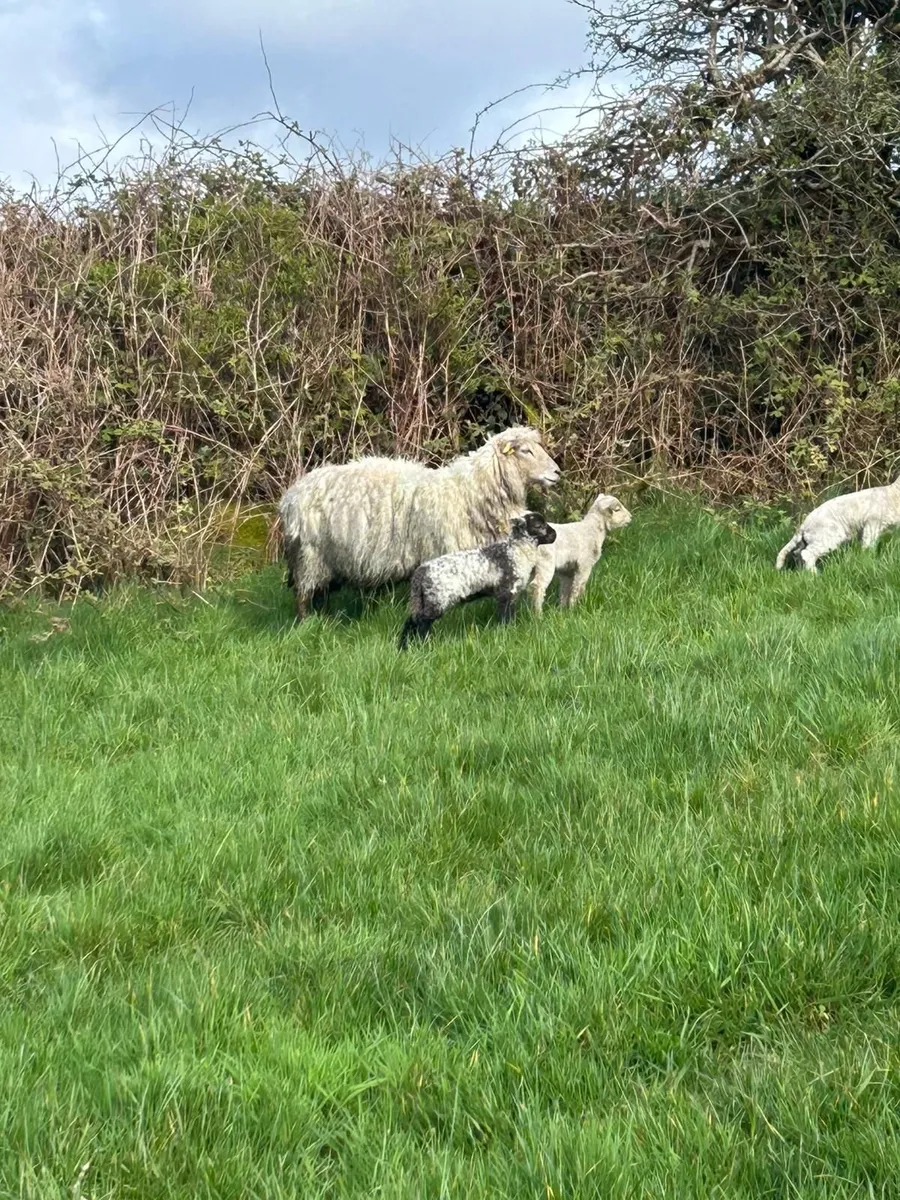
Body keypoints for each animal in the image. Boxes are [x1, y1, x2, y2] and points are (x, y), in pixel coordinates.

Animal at [279, 427, 561, 619]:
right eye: (526, 451)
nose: (557, 472)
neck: (470, 491)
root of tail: (291, 497)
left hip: (327, 559)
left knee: (320, 593)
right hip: (310, 556)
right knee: (304, 595)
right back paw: (306, 623)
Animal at [398, 512, 557, 650]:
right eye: (539, 525)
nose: (555, 534)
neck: (517, 550)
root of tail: (421, 572)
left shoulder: (512, 594)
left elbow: (510, 614)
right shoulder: (506, 591)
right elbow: (505, 615)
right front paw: (507, 632)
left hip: (422, 600)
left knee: (411, 621)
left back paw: (404, 646)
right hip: (436, 599)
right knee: (422, 622)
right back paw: (423, 644)